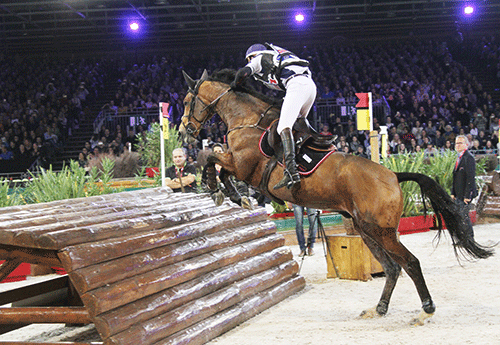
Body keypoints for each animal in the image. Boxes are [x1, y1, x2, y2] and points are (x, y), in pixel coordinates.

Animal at [179, 68, 492, 324]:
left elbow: (210, 157)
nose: (184, 131)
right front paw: (230, 194)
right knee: (392, 268)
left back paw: (426, 308)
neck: (247, 120)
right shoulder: (239, 166)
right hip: (367, 230)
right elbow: (217, 162)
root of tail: (393, 175)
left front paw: (217, 188)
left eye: (185, 101)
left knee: (410, 263)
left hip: (382, 230)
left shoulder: (244, 166)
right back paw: (379, 308)